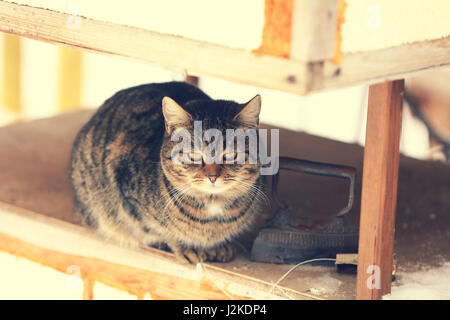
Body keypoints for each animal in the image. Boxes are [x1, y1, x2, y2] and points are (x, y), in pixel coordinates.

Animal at [70, 81, 266, 264]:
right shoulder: (127, 201)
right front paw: (185, 247)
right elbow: (162, 231)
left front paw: (220, 247)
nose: (212, 176)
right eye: (194, 155)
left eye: (231, 155)